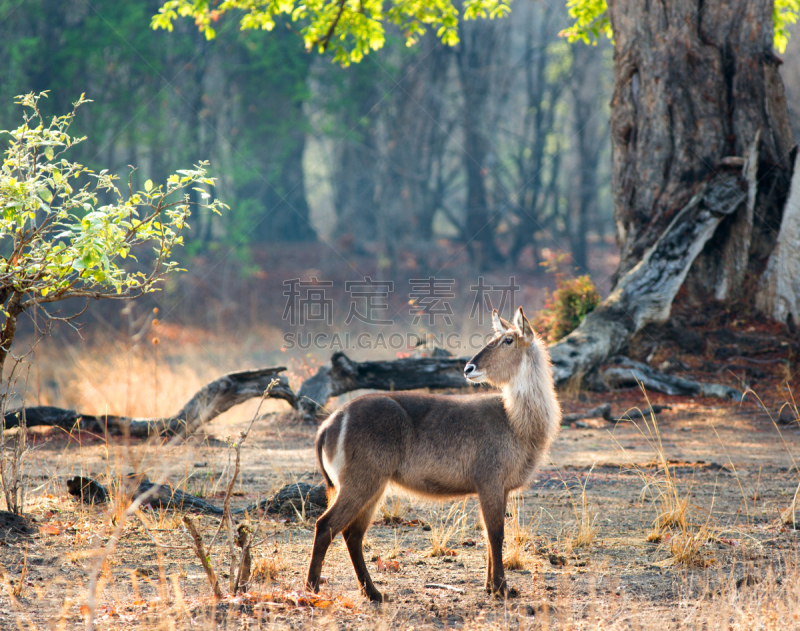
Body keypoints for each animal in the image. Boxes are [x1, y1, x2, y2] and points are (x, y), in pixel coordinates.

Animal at [304, 308, 560, 604]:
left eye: (508, 340)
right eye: (496, 338)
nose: (469, 368)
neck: (515, 421)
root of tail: (331, 422)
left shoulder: (500, 488)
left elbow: (488, 535)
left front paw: (490, 586)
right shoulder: (490, 482)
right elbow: (496, 534)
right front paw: (502, 588)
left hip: (371, 487)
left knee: (352, 534)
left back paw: (374, 593)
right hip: (361, 483)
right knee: (325, 526)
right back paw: (312, 588)